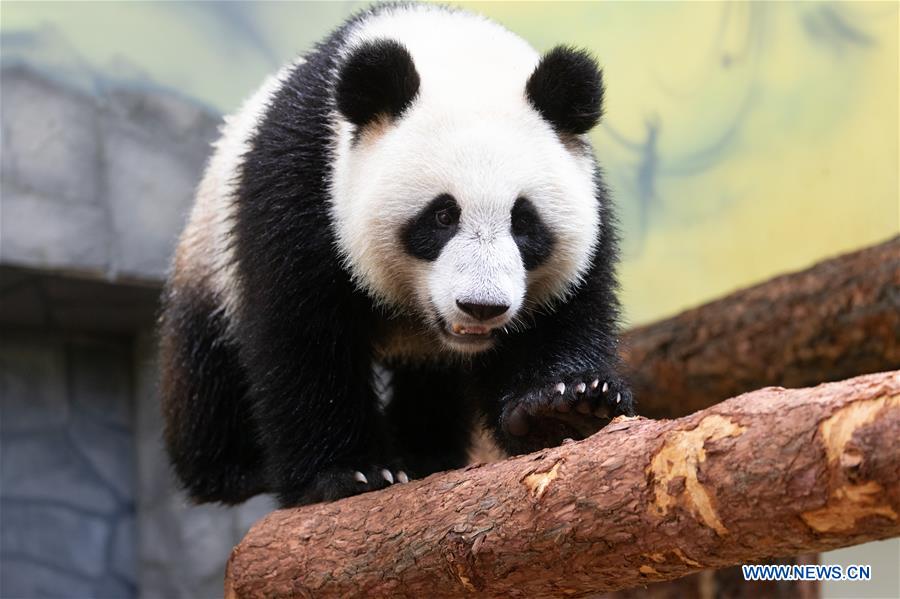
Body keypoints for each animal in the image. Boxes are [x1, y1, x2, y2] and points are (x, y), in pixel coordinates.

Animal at [159, 2, 633, 508]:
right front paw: (347, 473)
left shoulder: (586, 202)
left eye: (523, 221)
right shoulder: (302, 184)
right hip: (209, 252)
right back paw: (234, 473)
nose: (482, 307)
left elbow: (564, 313)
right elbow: (301, 334)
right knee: (208, 369)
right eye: (442, 216)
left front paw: (568, 405)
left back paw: (427, 454)